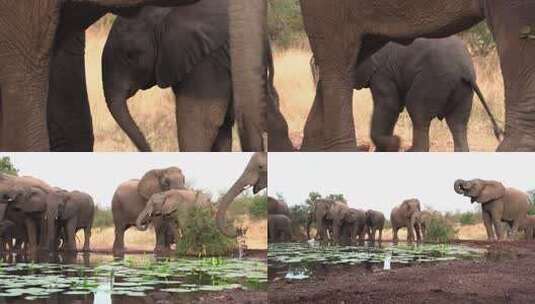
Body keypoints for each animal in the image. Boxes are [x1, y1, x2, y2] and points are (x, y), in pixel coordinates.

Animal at [312, 36, 504, 152]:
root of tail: (466, 70)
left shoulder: (383, 72)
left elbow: (389, 106)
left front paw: (395, 143)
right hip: (462, 90)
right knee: (457, 123)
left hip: (433, 79)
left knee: (418, 111)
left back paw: (412, 150)